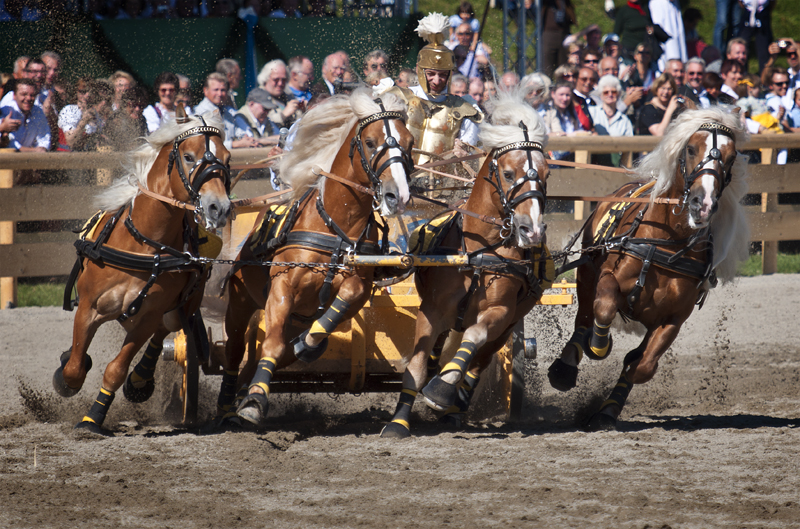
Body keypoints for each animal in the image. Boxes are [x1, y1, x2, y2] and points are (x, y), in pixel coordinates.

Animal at [53, 107, 231, 434]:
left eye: (226, 159)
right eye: (189, 157)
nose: (219, 208)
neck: (144, 244)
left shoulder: (148, 315)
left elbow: (117, 368)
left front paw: (93, 417)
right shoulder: (88, 307)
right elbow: (74, 367)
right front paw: (67, 374)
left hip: (184, 305)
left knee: (166, 330)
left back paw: (141, 379)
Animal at [219, 91, 416, 428]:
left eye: (410, 141)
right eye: (370, 142)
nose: (398, 196)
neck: (334, 227)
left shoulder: (359, 288)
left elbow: (320, 325)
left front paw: (308, 344)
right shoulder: (282, 286)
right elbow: (271, 344)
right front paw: (255, 402)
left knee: (275, 352)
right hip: (240, 300)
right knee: (234, 348)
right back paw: (228, 404)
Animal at [380, 89, 552, 438]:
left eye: (546, 175)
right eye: (509, 174)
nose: (531, 230)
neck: (477, 251)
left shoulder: (499, 314)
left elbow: (473, 340)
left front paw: (441, 390)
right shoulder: (431, 310)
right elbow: (416, 366)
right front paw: (398, 422)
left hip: (511, 323)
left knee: (478, 362)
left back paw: (454, 405)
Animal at [548, 105, 748, 432]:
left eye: (731, 158)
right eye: (691, 149)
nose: (702, 204)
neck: (665, 243)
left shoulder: (674, 318)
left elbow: (642, 365)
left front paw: (607, 409)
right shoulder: (608, 277)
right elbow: (604, 309)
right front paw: (598, 346)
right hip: (588, 270)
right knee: (584, 318)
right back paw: (566, 366)